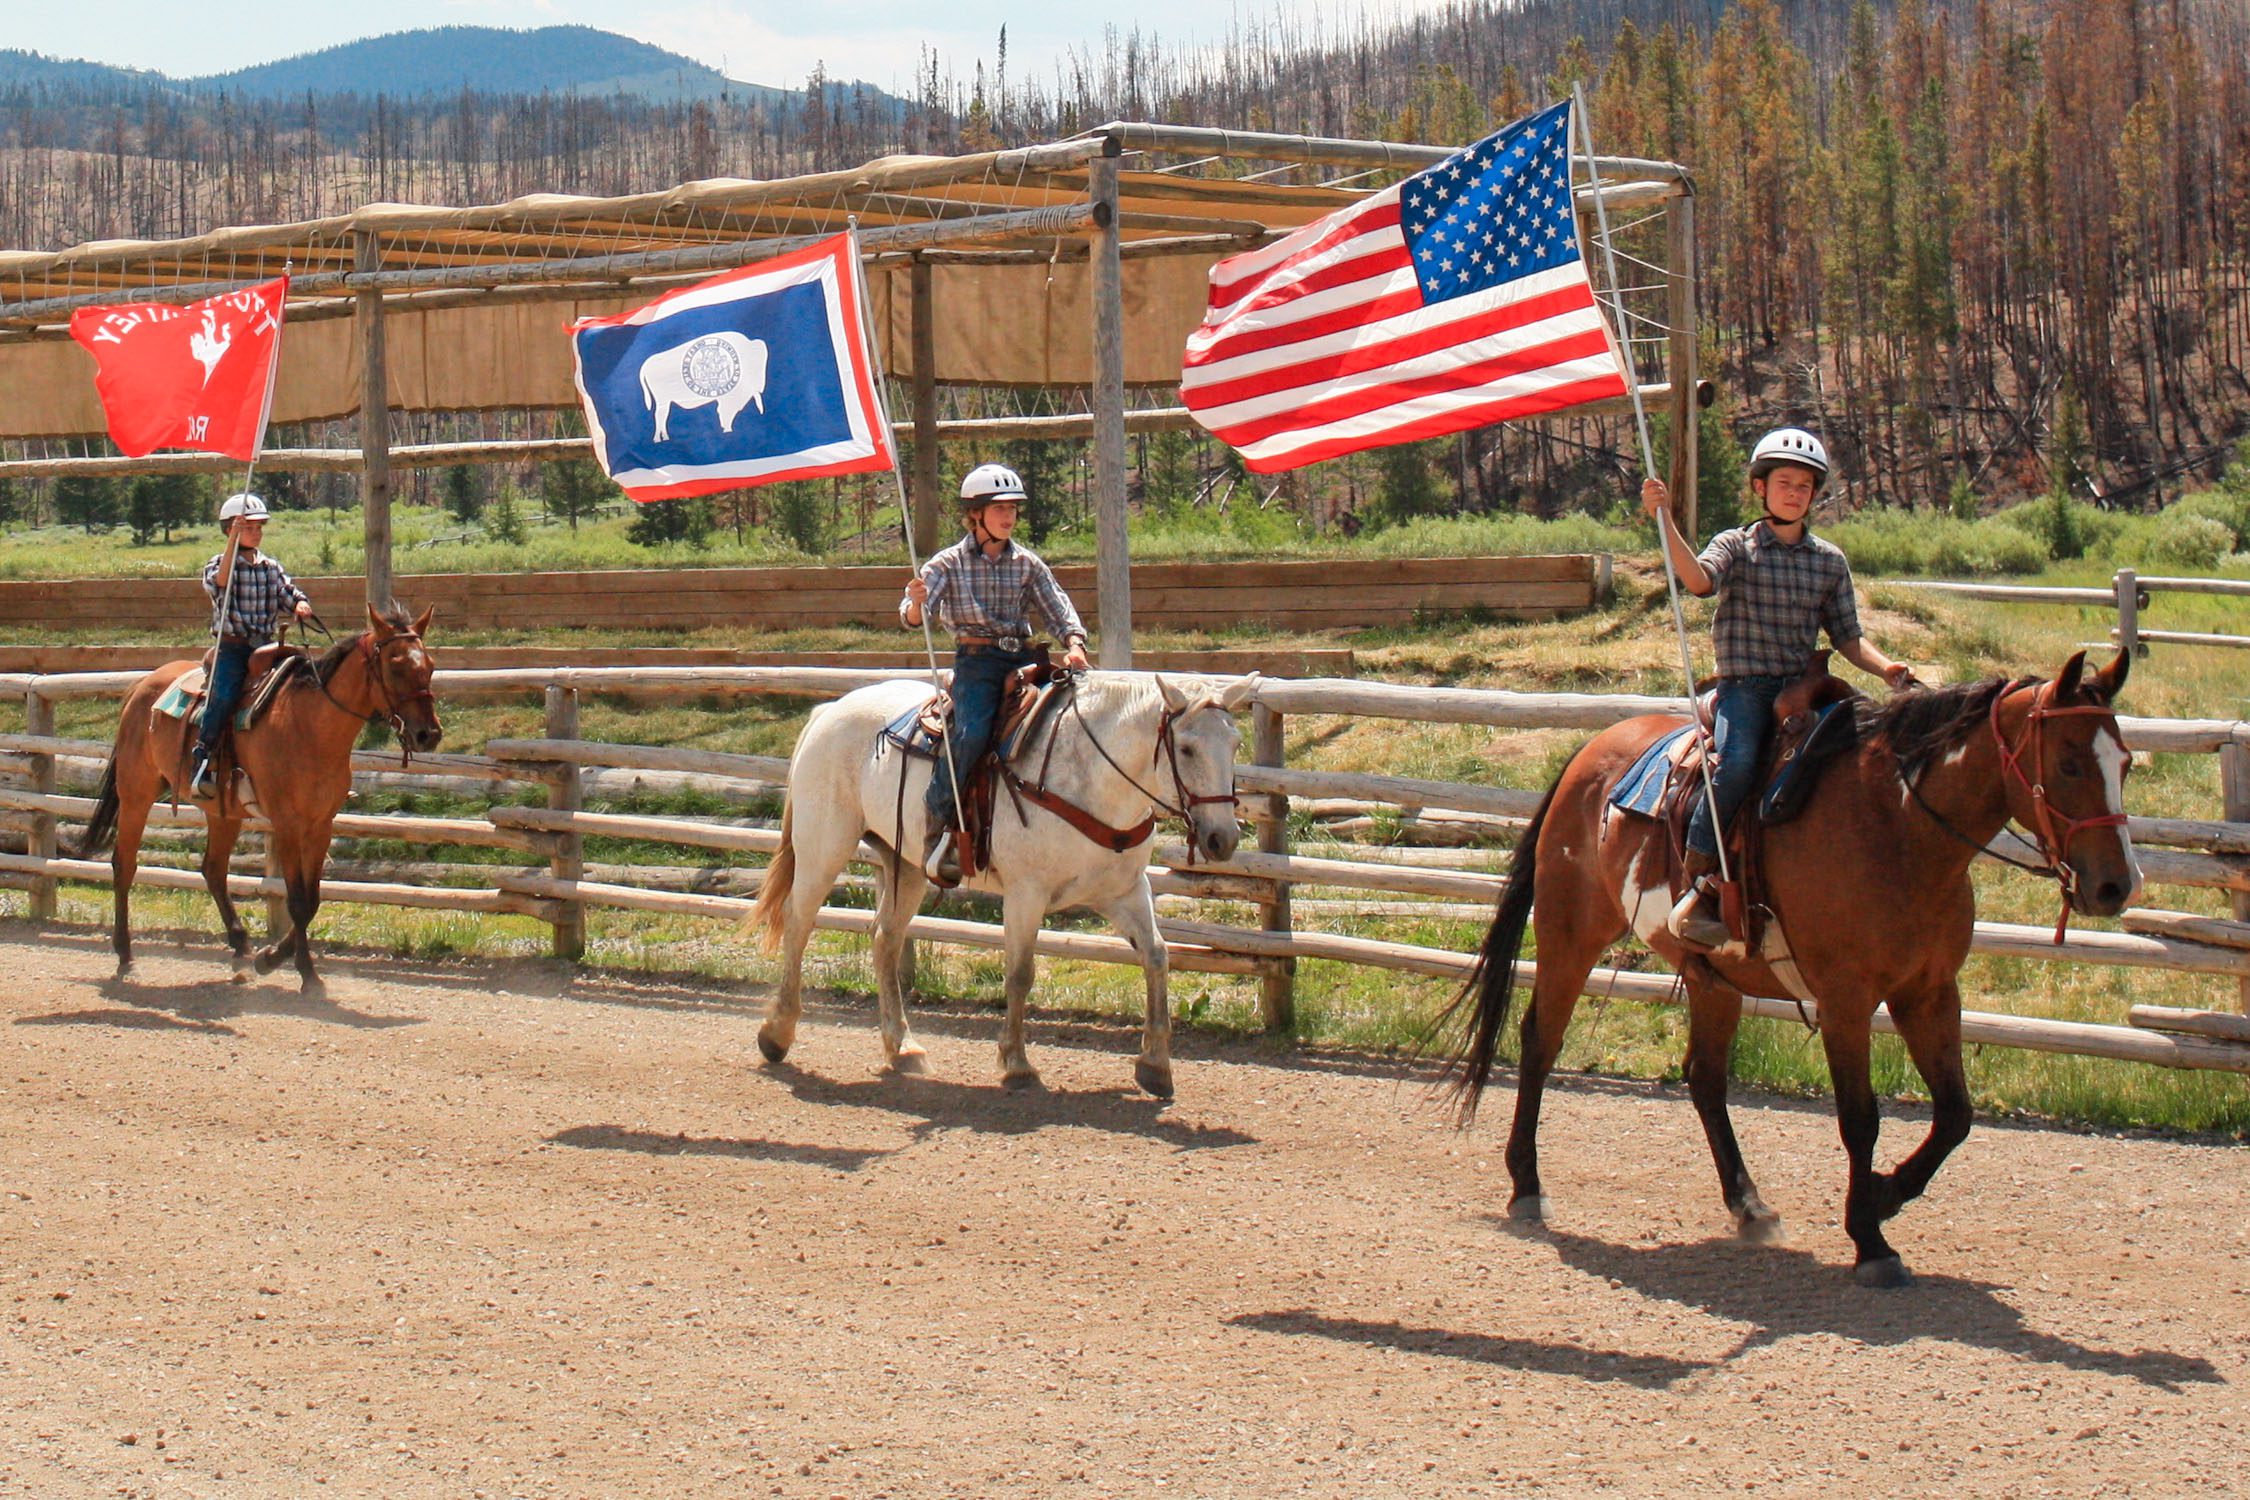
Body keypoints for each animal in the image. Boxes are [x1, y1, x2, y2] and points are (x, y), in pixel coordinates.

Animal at [70, 598, 443, 998]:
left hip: (222, 813)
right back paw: (125, 955)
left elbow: (313, 899)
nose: (428, 734)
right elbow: (298, 900)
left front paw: (270, 958)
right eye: (396, 664)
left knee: (213, 869)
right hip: (136, 793)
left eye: (430, 664)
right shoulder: (287, 824)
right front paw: (306, 975)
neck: (310, 724)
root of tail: (142, 685)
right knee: (124, 865)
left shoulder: (320, 825)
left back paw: (240, 946)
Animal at [751, 674, 1251, 1097]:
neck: (1092, 778)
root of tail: (830, 709)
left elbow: (1157, 957)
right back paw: (777, 1033)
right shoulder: (1026, 894)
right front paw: (1016, 1064)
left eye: (1235, 742)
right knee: (799, 922)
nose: (1223, 839)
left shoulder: (1124, 892)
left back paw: (903, 1048)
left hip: (904, 865)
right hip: (823, 846)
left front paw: (1156, 1066)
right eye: (1186, 748)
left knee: (885, 939)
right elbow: (1020, 973)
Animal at [1440, 652, 2142, 1286]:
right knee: (1540, 1042)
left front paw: (1884, 1196)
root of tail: (1589, 754)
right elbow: (1860, 1118)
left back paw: (1749, 1205)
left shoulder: (1930, 993)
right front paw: (1870, 1239)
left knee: (1704, 1077)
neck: (1898, 827)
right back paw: (1526, 1185)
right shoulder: (1845, 1000)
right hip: (1570, 932)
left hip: (1711, 978)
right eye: (2069, 761)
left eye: (2126, 763)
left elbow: (1955, 1114)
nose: (2116, 885)